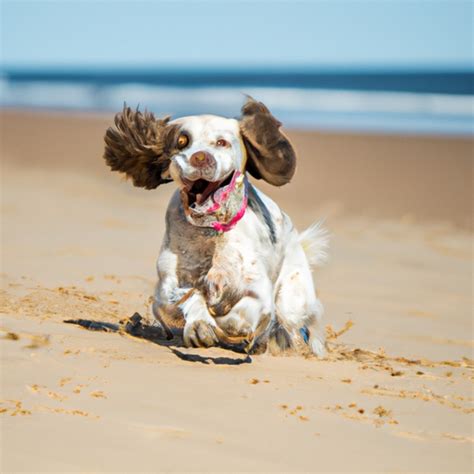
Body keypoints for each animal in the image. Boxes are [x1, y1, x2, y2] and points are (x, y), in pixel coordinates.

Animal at [102, 97, 328, 356]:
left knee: (290, 322)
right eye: (182, 141)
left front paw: (231, 324)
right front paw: (200, 326)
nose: (200, 157)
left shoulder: (257, 291)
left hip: (293, 298)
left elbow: (243, 312)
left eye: (222, 142)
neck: (210, 231)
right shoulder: (166, 290)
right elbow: (188, 297)